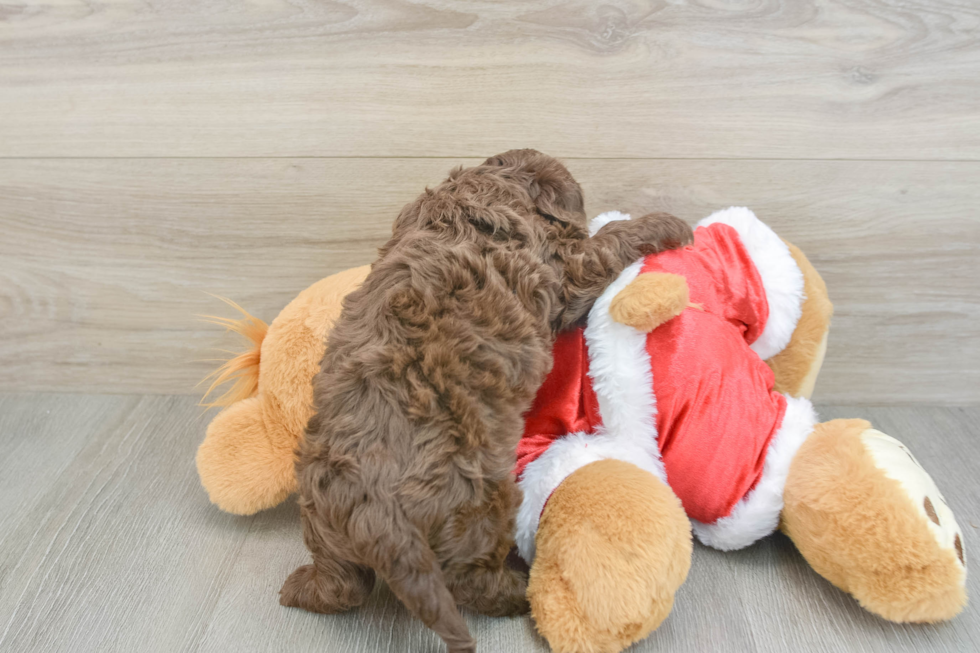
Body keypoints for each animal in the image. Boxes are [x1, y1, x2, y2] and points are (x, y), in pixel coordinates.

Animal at [276, 150, 688, 648]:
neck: (469, 204)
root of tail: (379, 515)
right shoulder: (567, 272)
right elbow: (608, 243)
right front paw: (666, 223)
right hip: (481, 510)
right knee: (472, 581)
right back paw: (516, 591)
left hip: (322, 518)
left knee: (342, 585)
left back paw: (301, 588)